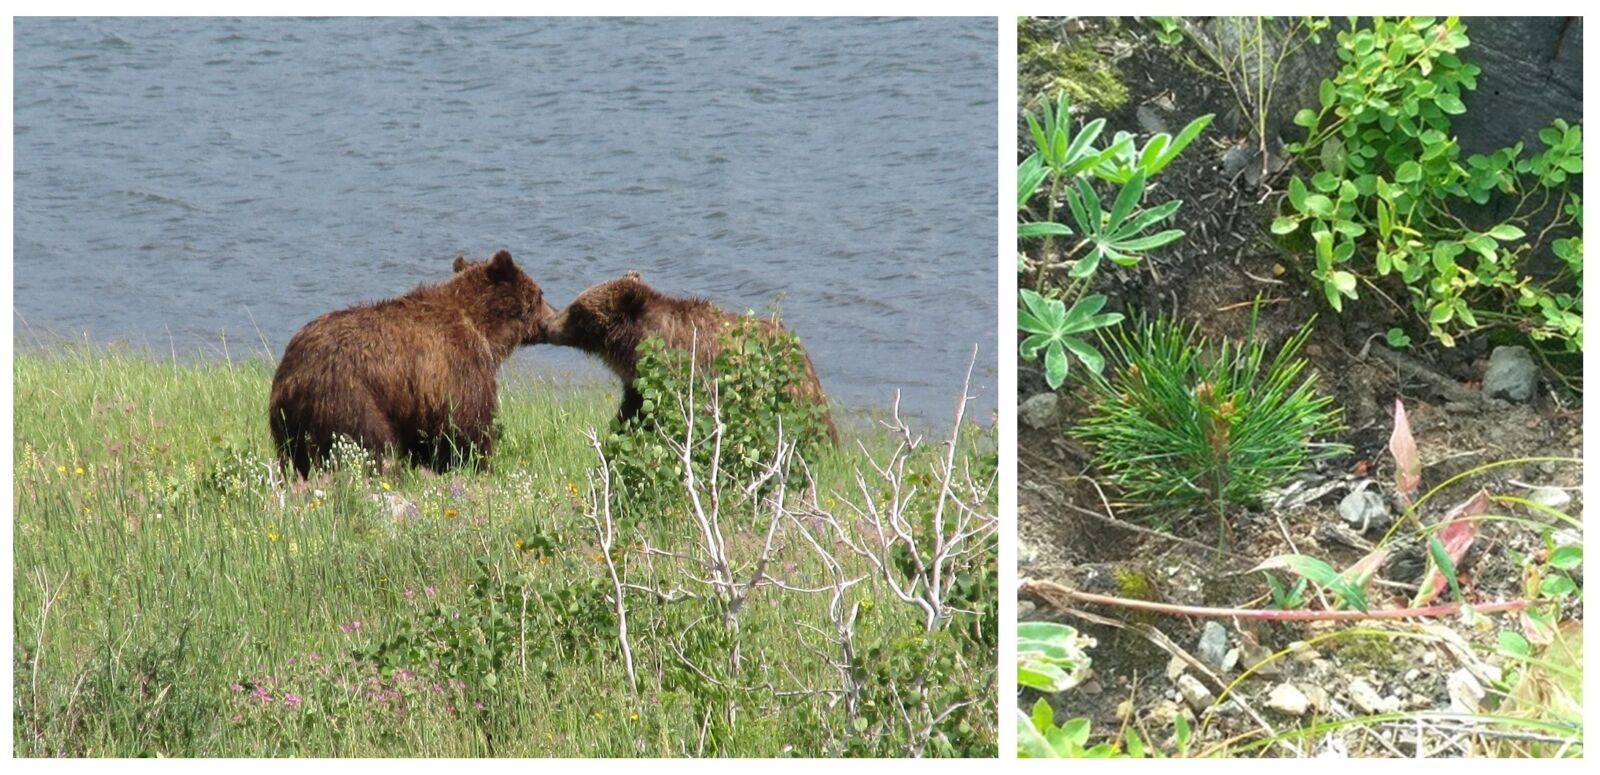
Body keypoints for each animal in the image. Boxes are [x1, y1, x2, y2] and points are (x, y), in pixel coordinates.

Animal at [268, 251, 556, 473]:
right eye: (540, 294)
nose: (552, 317)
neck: (483, 328)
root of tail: (294, 370)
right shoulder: (457, 364)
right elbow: (467, 421)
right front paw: (477, 462)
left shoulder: (421, 399)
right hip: (347, 395)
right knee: (368, 440)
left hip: (288, 420)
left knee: (297, 456)